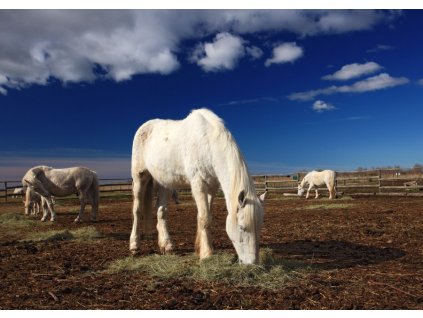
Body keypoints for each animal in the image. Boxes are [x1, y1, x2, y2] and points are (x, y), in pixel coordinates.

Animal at [131, 108, 266, 264]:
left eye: (260, 226)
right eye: (242, 227)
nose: (252, 263)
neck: (208, 143)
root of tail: (144, 127)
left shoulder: (212, 187)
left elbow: (205, 216)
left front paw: (200, 247)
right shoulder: (198, 184)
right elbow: (205, 218)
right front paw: (207, 254)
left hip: (165, 182)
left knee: (161, 211)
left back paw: (166, 245)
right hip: (140, 177)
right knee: (137, 210)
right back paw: (134, 246)